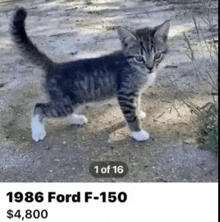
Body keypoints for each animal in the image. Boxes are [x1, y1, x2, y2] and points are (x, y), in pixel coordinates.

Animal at [11, 7, 170, 142]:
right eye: (139, 58)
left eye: (157, 55)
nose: (150, 67)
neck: (135, 68)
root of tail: (54, 66)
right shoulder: (125, 93)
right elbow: (131, 115)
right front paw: (138, 133)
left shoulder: (135, 93)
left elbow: (136, 105)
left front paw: (139, 113)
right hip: (64, 103)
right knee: (39, 107)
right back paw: (38, 131)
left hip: (72, 101)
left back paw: (76, 119)